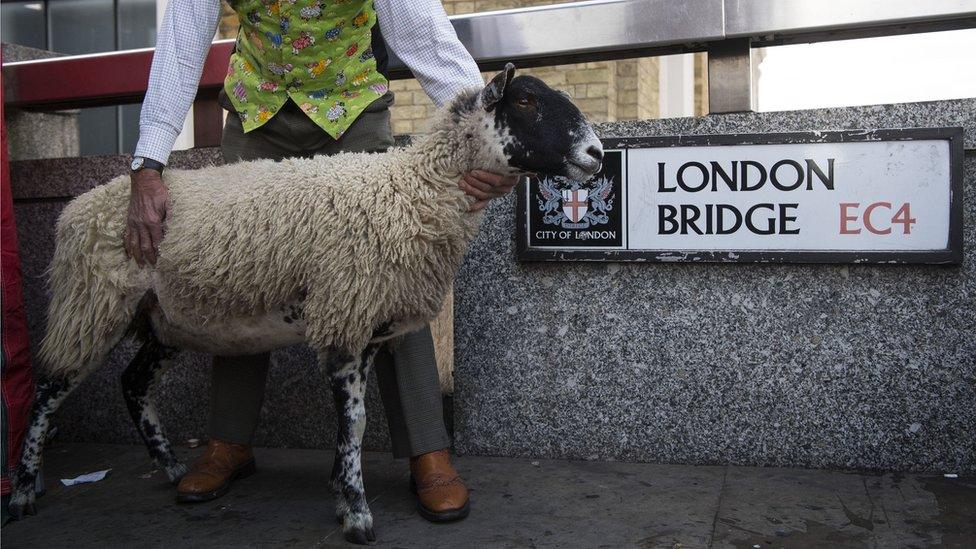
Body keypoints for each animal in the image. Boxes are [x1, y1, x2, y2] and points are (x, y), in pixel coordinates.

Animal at [9, 65, 604, 544]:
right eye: (524, 101)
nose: (596, 155)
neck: (412, 190)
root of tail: (76, 209)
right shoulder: (344, 314)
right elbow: (356, 423)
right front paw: (357, 515)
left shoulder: (367, 324)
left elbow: (352, 428)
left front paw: (343, 491)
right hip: (91, 301)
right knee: (48, 389)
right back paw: (23, 489)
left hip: (160, 318)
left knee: (132, 383)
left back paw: (173, 468)